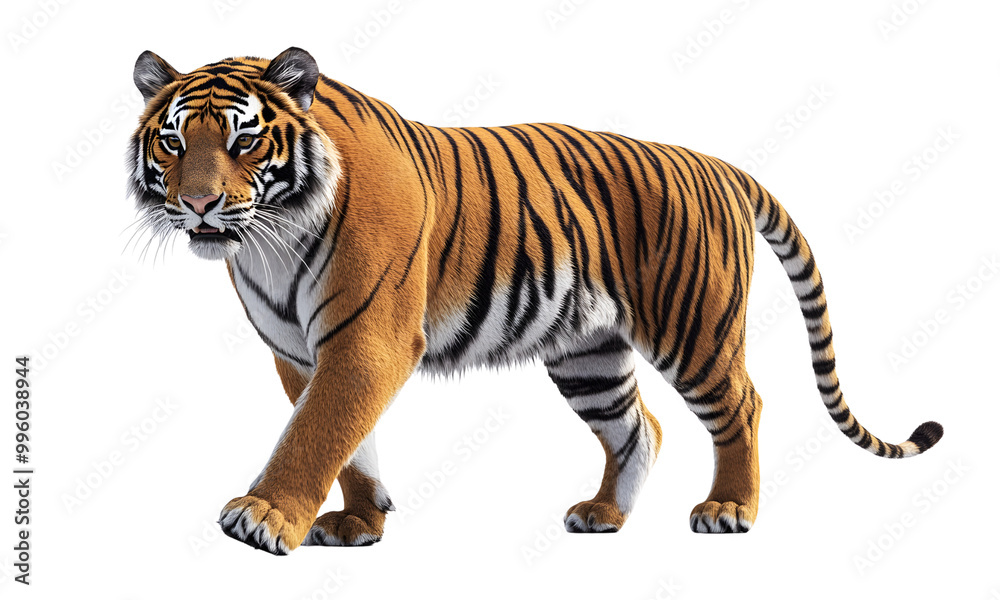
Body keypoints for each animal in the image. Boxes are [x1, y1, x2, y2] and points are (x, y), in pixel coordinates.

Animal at [127, 47, 943, 555]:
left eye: (243, 142)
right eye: (173, 143)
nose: (198, 205)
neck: (270, 239)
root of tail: (715, 163)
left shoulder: (367, 340)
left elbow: (314, 432)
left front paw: (263, 517)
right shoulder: (298, 352)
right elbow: (344, 439)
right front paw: (359, 520)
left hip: (694, 328)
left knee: (742, 405)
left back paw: (729, 510)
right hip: (590, 355)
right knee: (639, 426)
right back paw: (605, 515)